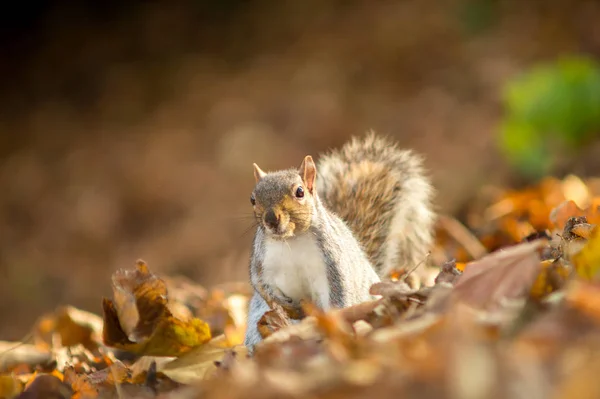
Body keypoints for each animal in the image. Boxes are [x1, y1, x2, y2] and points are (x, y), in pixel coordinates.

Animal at [244, 133, 436, 352]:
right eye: (252, 199)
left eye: (300, 192)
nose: (271, 219)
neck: (292, 240)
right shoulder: (262, 261)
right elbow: (259, 283)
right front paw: (281, 303)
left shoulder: (333, 260)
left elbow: (339, 292)